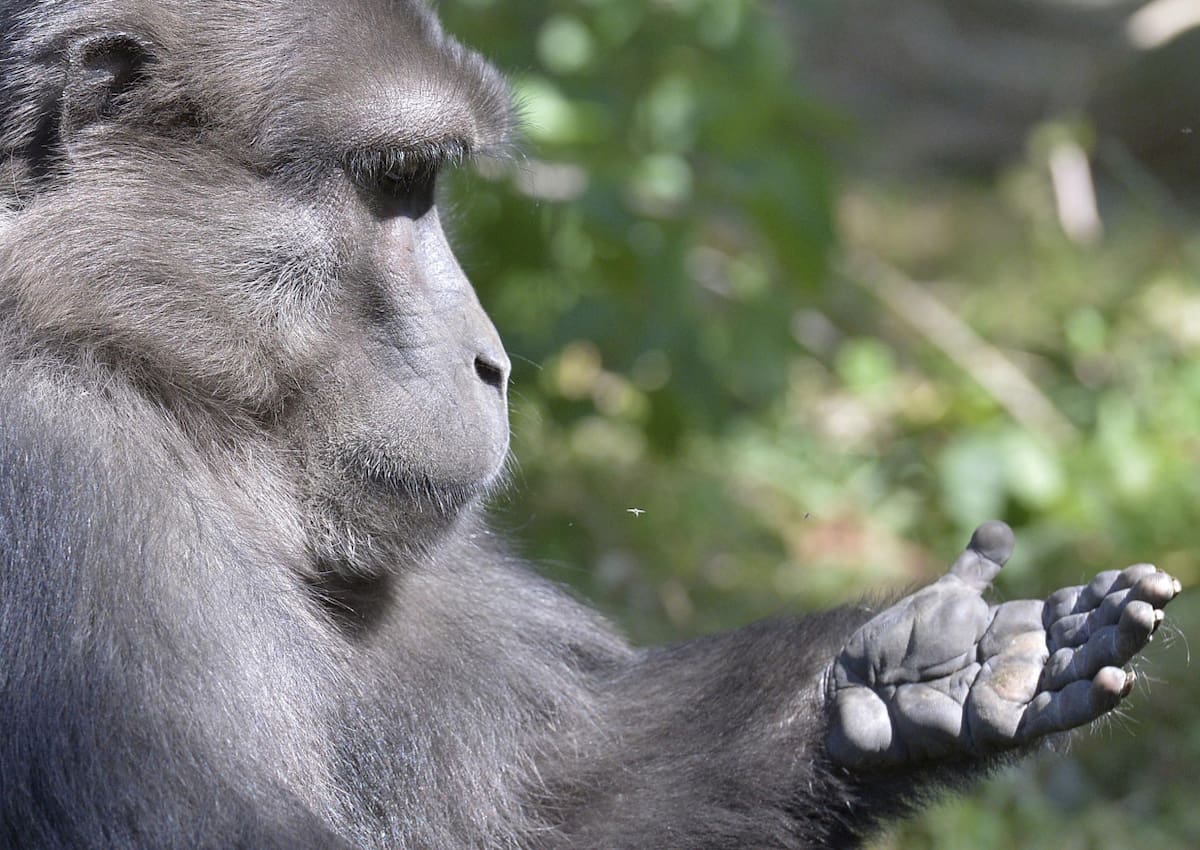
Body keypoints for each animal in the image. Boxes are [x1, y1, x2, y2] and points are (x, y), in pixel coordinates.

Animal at [0, 1, 1180, 848]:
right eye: (395, 182)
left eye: (426, 184)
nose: (493, 362)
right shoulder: (71, 480)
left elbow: (563, 800)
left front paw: (907, 678)